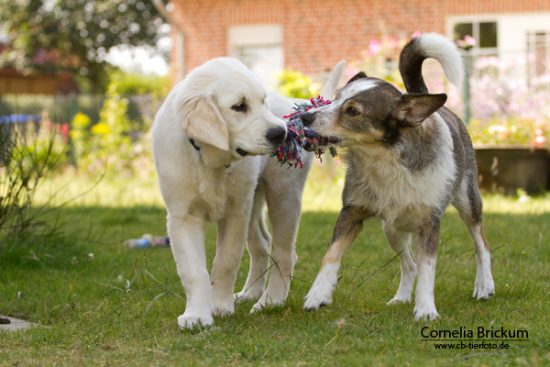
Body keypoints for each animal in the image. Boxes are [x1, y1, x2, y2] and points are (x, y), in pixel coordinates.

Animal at [152, 58, 344, 330]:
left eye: (263, 101)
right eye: (239, 106)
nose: (281, 133)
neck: (209, 160)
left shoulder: (235, 212)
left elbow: (226, 261)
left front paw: (220, 307)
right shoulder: (182, 216)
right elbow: (193, 271)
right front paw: (197, 315)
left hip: (282, 194)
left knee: (284, 252)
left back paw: (270, 300)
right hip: (253, 202)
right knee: (262, 244)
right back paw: (250, 293)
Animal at [302, 33, 496, 320]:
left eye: (352, 111)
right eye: (335, 99)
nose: (306, 117)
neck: (384, 159)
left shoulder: (429, 223)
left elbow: (428, 269)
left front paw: (426, 309)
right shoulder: (351, 212)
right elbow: (331, 255)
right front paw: (318, 294)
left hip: (469, 201)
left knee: (481, 243)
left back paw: (484, 285)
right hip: (391, 227)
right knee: (409, 263)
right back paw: (402, 296)